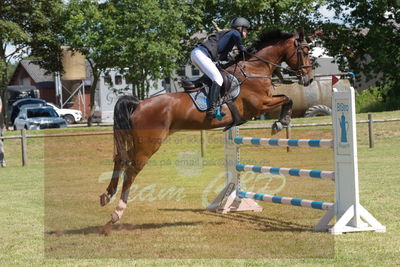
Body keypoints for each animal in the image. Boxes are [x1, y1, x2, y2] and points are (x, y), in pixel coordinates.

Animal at [99, 29, 312, 224]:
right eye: (305, 51)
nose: (308, 79)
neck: (255, 69)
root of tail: (139, 104)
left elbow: (286, 98)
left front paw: (281, 121)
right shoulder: (259, 105)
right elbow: (288, 98)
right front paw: (280, 122)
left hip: (138, 141)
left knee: (119, 159)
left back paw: (107, 195)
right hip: (149, 144)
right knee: (131, 170)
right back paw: (117, 212)